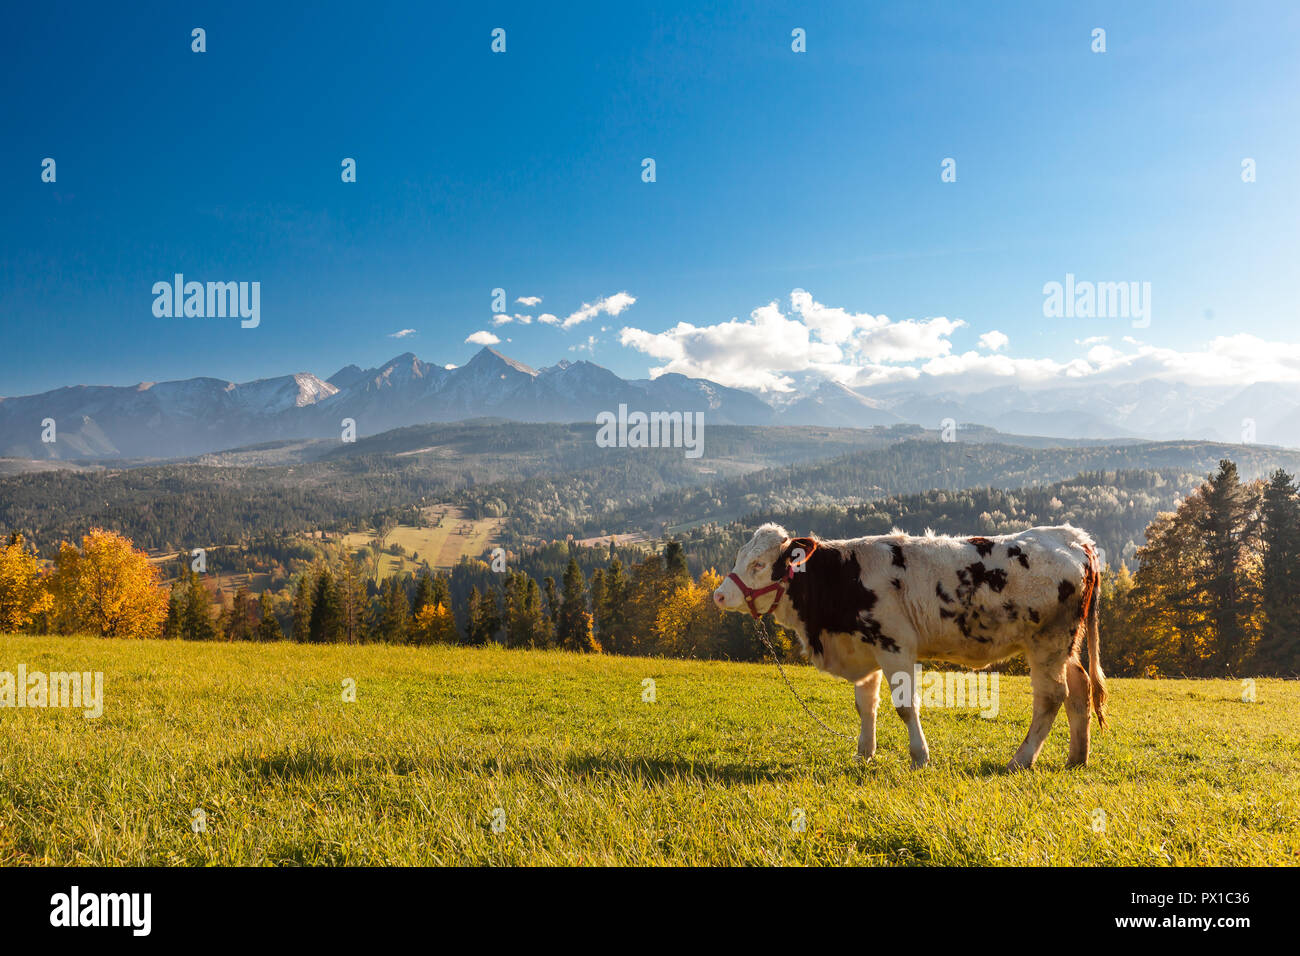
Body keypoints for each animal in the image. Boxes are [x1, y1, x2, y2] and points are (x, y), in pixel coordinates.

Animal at [712, 522, 1107, 770]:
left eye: (759, 564)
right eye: (738, 557)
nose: (719, 595)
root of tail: (1073, 538)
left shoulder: (894, 646)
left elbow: (905, 706)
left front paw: (920, 757)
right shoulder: (865, 646)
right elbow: (865, 706)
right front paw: (864, 754)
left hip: (1047, 641)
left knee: (1051, 696)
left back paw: (1020, 760)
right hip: (1065, 645)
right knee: (1079, 688)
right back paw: (1077, 758)